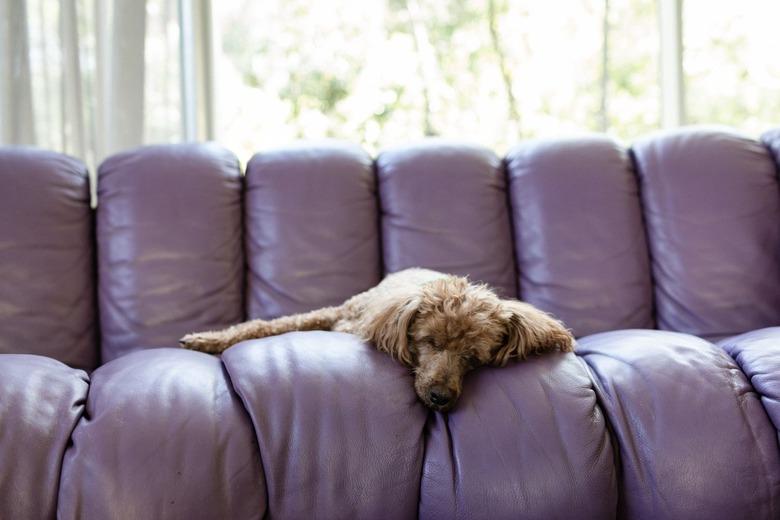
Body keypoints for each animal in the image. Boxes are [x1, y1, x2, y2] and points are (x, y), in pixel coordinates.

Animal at [181, 268, 572, 410]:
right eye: (430, 341)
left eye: (473, 358)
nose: (440, 398)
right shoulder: (334, 314)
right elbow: (265, 326)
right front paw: (206, 340)